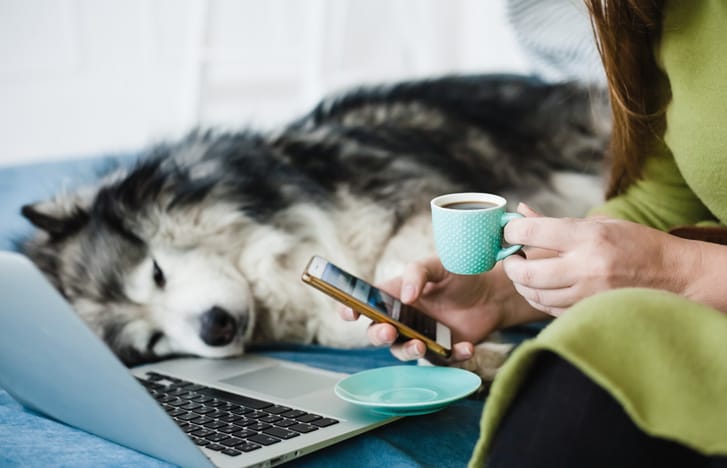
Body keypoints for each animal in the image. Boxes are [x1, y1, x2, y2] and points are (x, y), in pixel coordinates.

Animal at [19, 76, 608, 376]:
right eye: (154, 343)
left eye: (157, 272)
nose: (216, 328)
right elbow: (351, 327)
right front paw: (474, 352)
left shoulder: (413, 201)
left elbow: (394, 264)